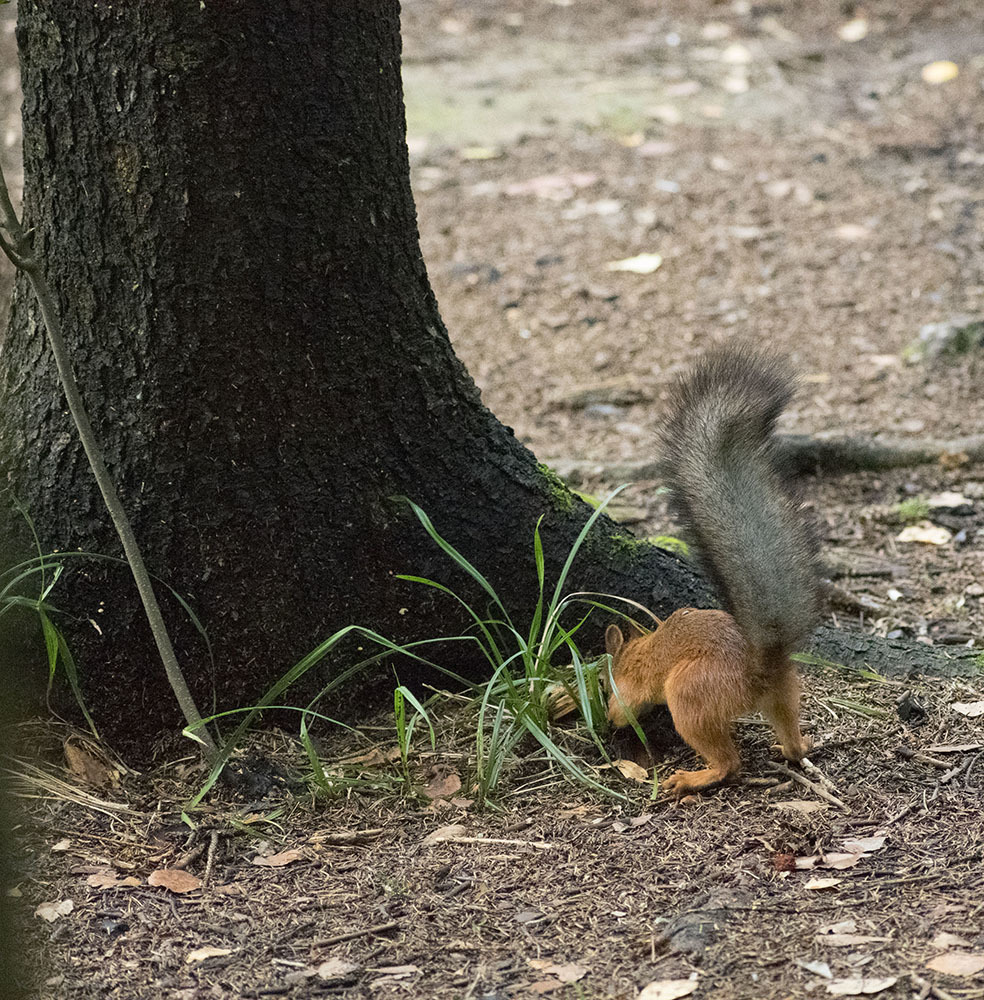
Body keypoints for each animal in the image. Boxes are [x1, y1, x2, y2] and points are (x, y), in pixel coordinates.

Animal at [604, 350, 820, 796]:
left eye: (603, 685)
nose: (603, 720)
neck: (639, 648)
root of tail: (758, 670)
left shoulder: (636, 684)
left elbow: (629, 702)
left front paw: (617, 717)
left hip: (689, 697)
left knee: (729, 763)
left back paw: (693, 778)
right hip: (785, 693)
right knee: (789, 731)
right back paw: (795, 746)